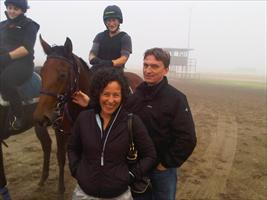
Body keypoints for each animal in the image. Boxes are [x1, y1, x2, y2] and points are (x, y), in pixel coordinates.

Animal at [33, 35, 144, 195]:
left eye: (62, 75)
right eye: (41, 73)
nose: (40, 117)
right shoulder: (61, 133)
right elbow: (61, 158)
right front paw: (60, 188)